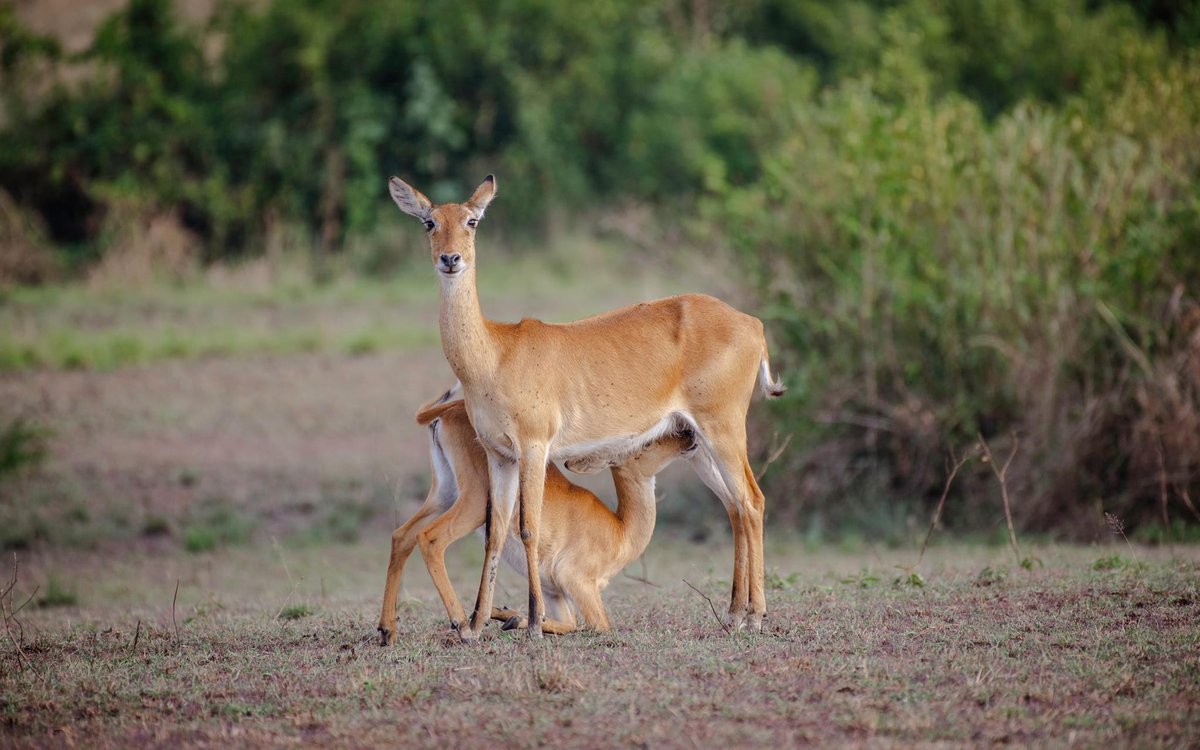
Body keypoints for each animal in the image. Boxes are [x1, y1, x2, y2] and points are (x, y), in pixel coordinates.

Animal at [377, 386, 696, 644]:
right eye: (646, 441)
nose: (688, 433)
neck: (619, 530)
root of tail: (447, 410)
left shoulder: (555, 593)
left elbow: (568, 622)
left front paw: (506, 614)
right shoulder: (579, 585)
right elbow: (595, 625)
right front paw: (514, 619)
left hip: (444, 494)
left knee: (401, 536)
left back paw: (387, 631)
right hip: (475, 503)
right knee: (430, 538)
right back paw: (464, 626)